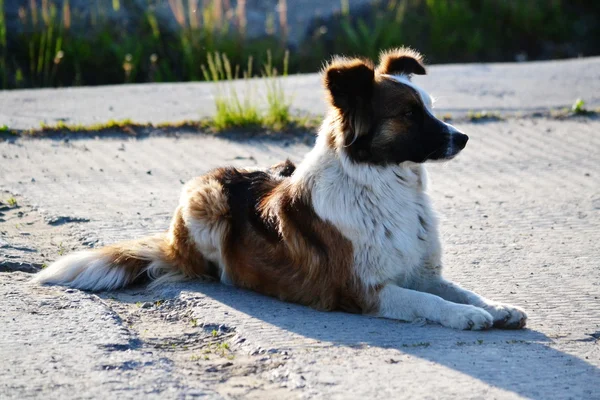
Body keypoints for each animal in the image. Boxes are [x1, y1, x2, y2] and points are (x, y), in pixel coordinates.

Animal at [35, 48, 528, 330]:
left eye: (429, 108)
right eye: (409, 114)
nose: (462, 138)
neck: (385, 185)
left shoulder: (421, 270)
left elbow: (457, 288)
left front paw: (497, 306)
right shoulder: (363, 289)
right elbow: (429, 301)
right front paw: (466, 316)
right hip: (208, 201)